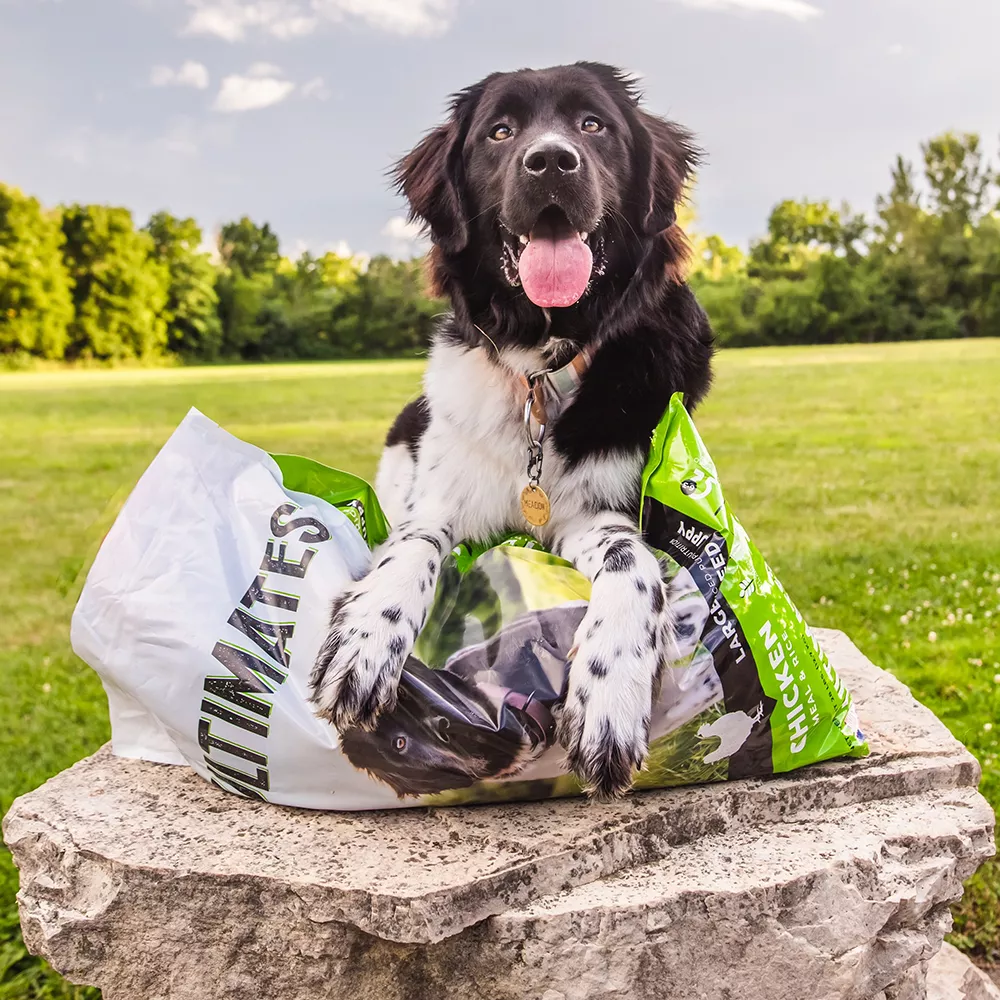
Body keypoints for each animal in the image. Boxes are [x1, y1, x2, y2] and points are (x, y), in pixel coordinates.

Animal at [308, 60, 716, 796]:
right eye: (500, 132)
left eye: (593, 124)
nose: (551, 160)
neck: (538, 365)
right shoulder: (439, 503)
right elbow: (408, 551)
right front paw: (365, 641)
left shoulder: (596, 512)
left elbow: (635, 564)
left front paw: (609, 695)